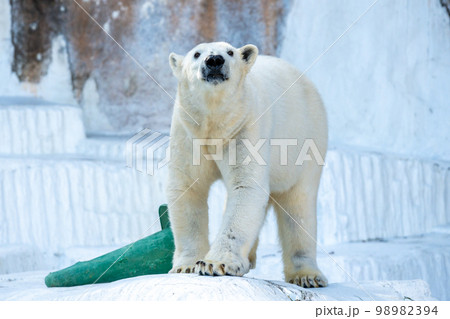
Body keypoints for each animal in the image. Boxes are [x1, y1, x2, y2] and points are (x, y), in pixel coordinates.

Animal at [165, 41, 326, 288]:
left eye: (230, 51)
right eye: (196, 54)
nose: (214, 60)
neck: (215, 125)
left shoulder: (244, 127)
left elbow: (246, 187)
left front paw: (215, 263)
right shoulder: (188, 133)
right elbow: (187, 188)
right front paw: (187, 265)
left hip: (306, 140)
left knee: (298, 205)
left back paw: (307, 275)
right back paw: (248, 257)